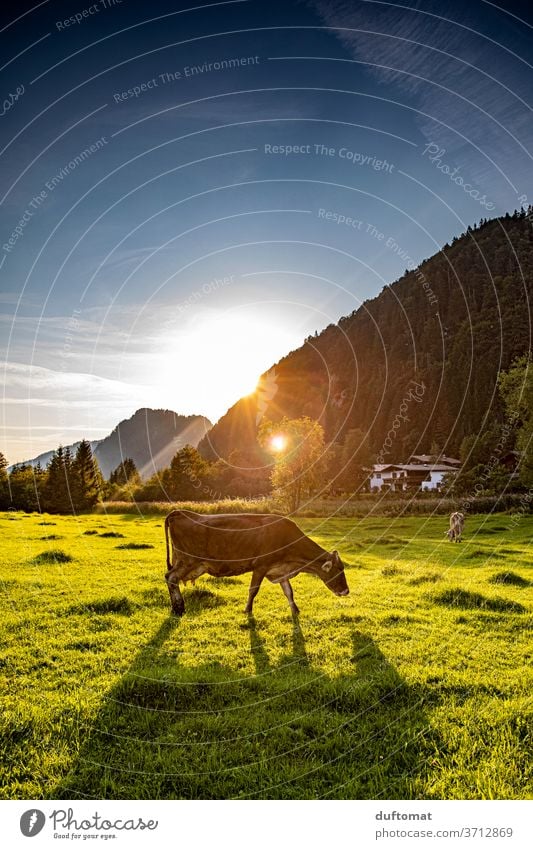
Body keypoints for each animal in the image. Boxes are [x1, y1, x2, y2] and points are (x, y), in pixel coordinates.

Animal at [166, 506, 350, 612]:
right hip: (187, 560)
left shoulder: (280, 570)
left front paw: (295, 610)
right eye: (338, 571)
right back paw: (179, 607)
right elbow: (253, 590)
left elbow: (289, 592)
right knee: (170, 577)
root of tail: (180, 512)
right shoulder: (261, 566)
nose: (346, 591)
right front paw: (247, 610)